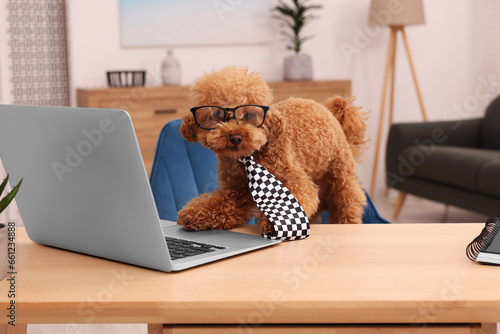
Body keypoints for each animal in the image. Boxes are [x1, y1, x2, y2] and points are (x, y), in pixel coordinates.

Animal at [179, 66, 368, 235]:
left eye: (249, 115)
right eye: (217, 115)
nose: (236, 137)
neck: (251, 156)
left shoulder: (295, 181)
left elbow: (296, 198)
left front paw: (276, 223)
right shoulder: (236, 191)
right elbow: (221, 204)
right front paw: (193, 215)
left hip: (342, 183)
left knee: (347, 209)